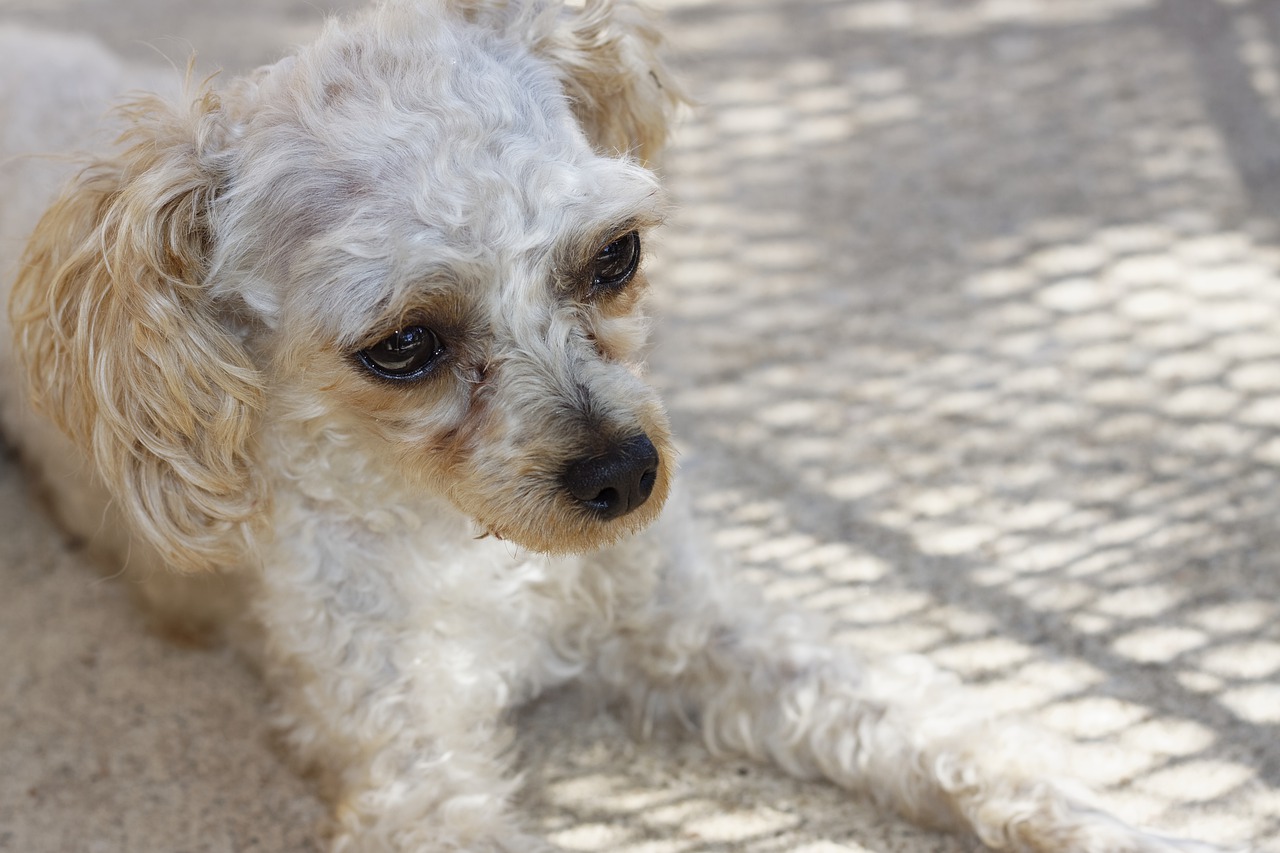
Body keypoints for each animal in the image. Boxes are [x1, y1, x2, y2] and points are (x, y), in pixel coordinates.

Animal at [0, 1, 1244, 850]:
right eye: (401, 347)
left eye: (615, 256)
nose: (624, 474)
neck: (482, 557)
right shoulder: (409, 759)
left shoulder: (703, 626)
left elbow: (938, 726)